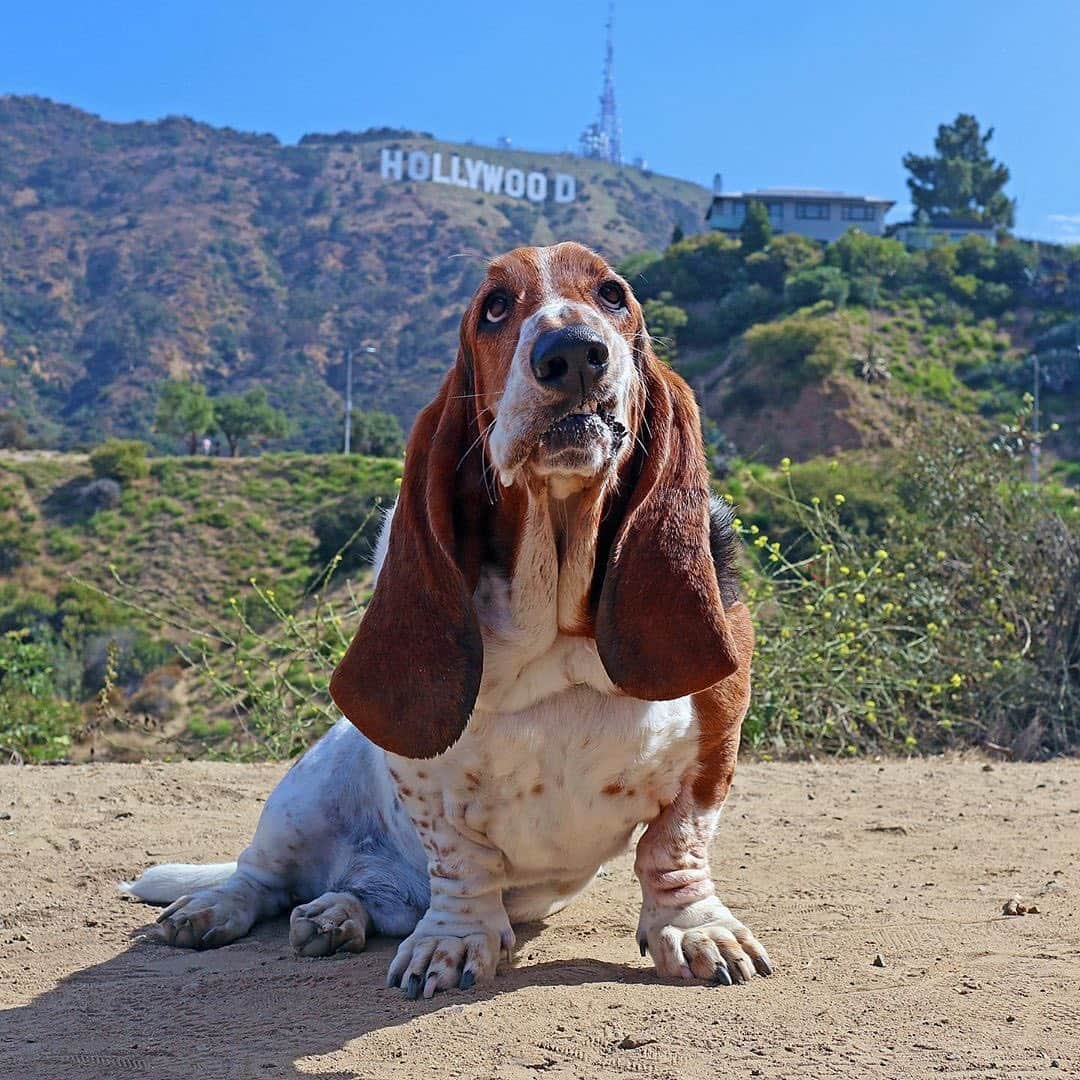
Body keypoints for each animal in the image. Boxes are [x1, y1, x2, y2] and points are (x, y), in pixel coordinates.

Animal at [124, 240, 768, 997]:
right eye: (494, 308)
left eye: (613, 295)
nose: (572, 354)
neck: (555, 613)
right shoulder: (421, 775)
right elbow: (460, 860)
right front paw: (454, 944)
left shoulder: (713, 744)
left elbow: (675, 848)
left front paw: (695, 931)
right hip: (301, 793)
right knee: (261, 878)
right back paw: (216, 909)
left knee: (359, 897)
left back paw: (336, 915)